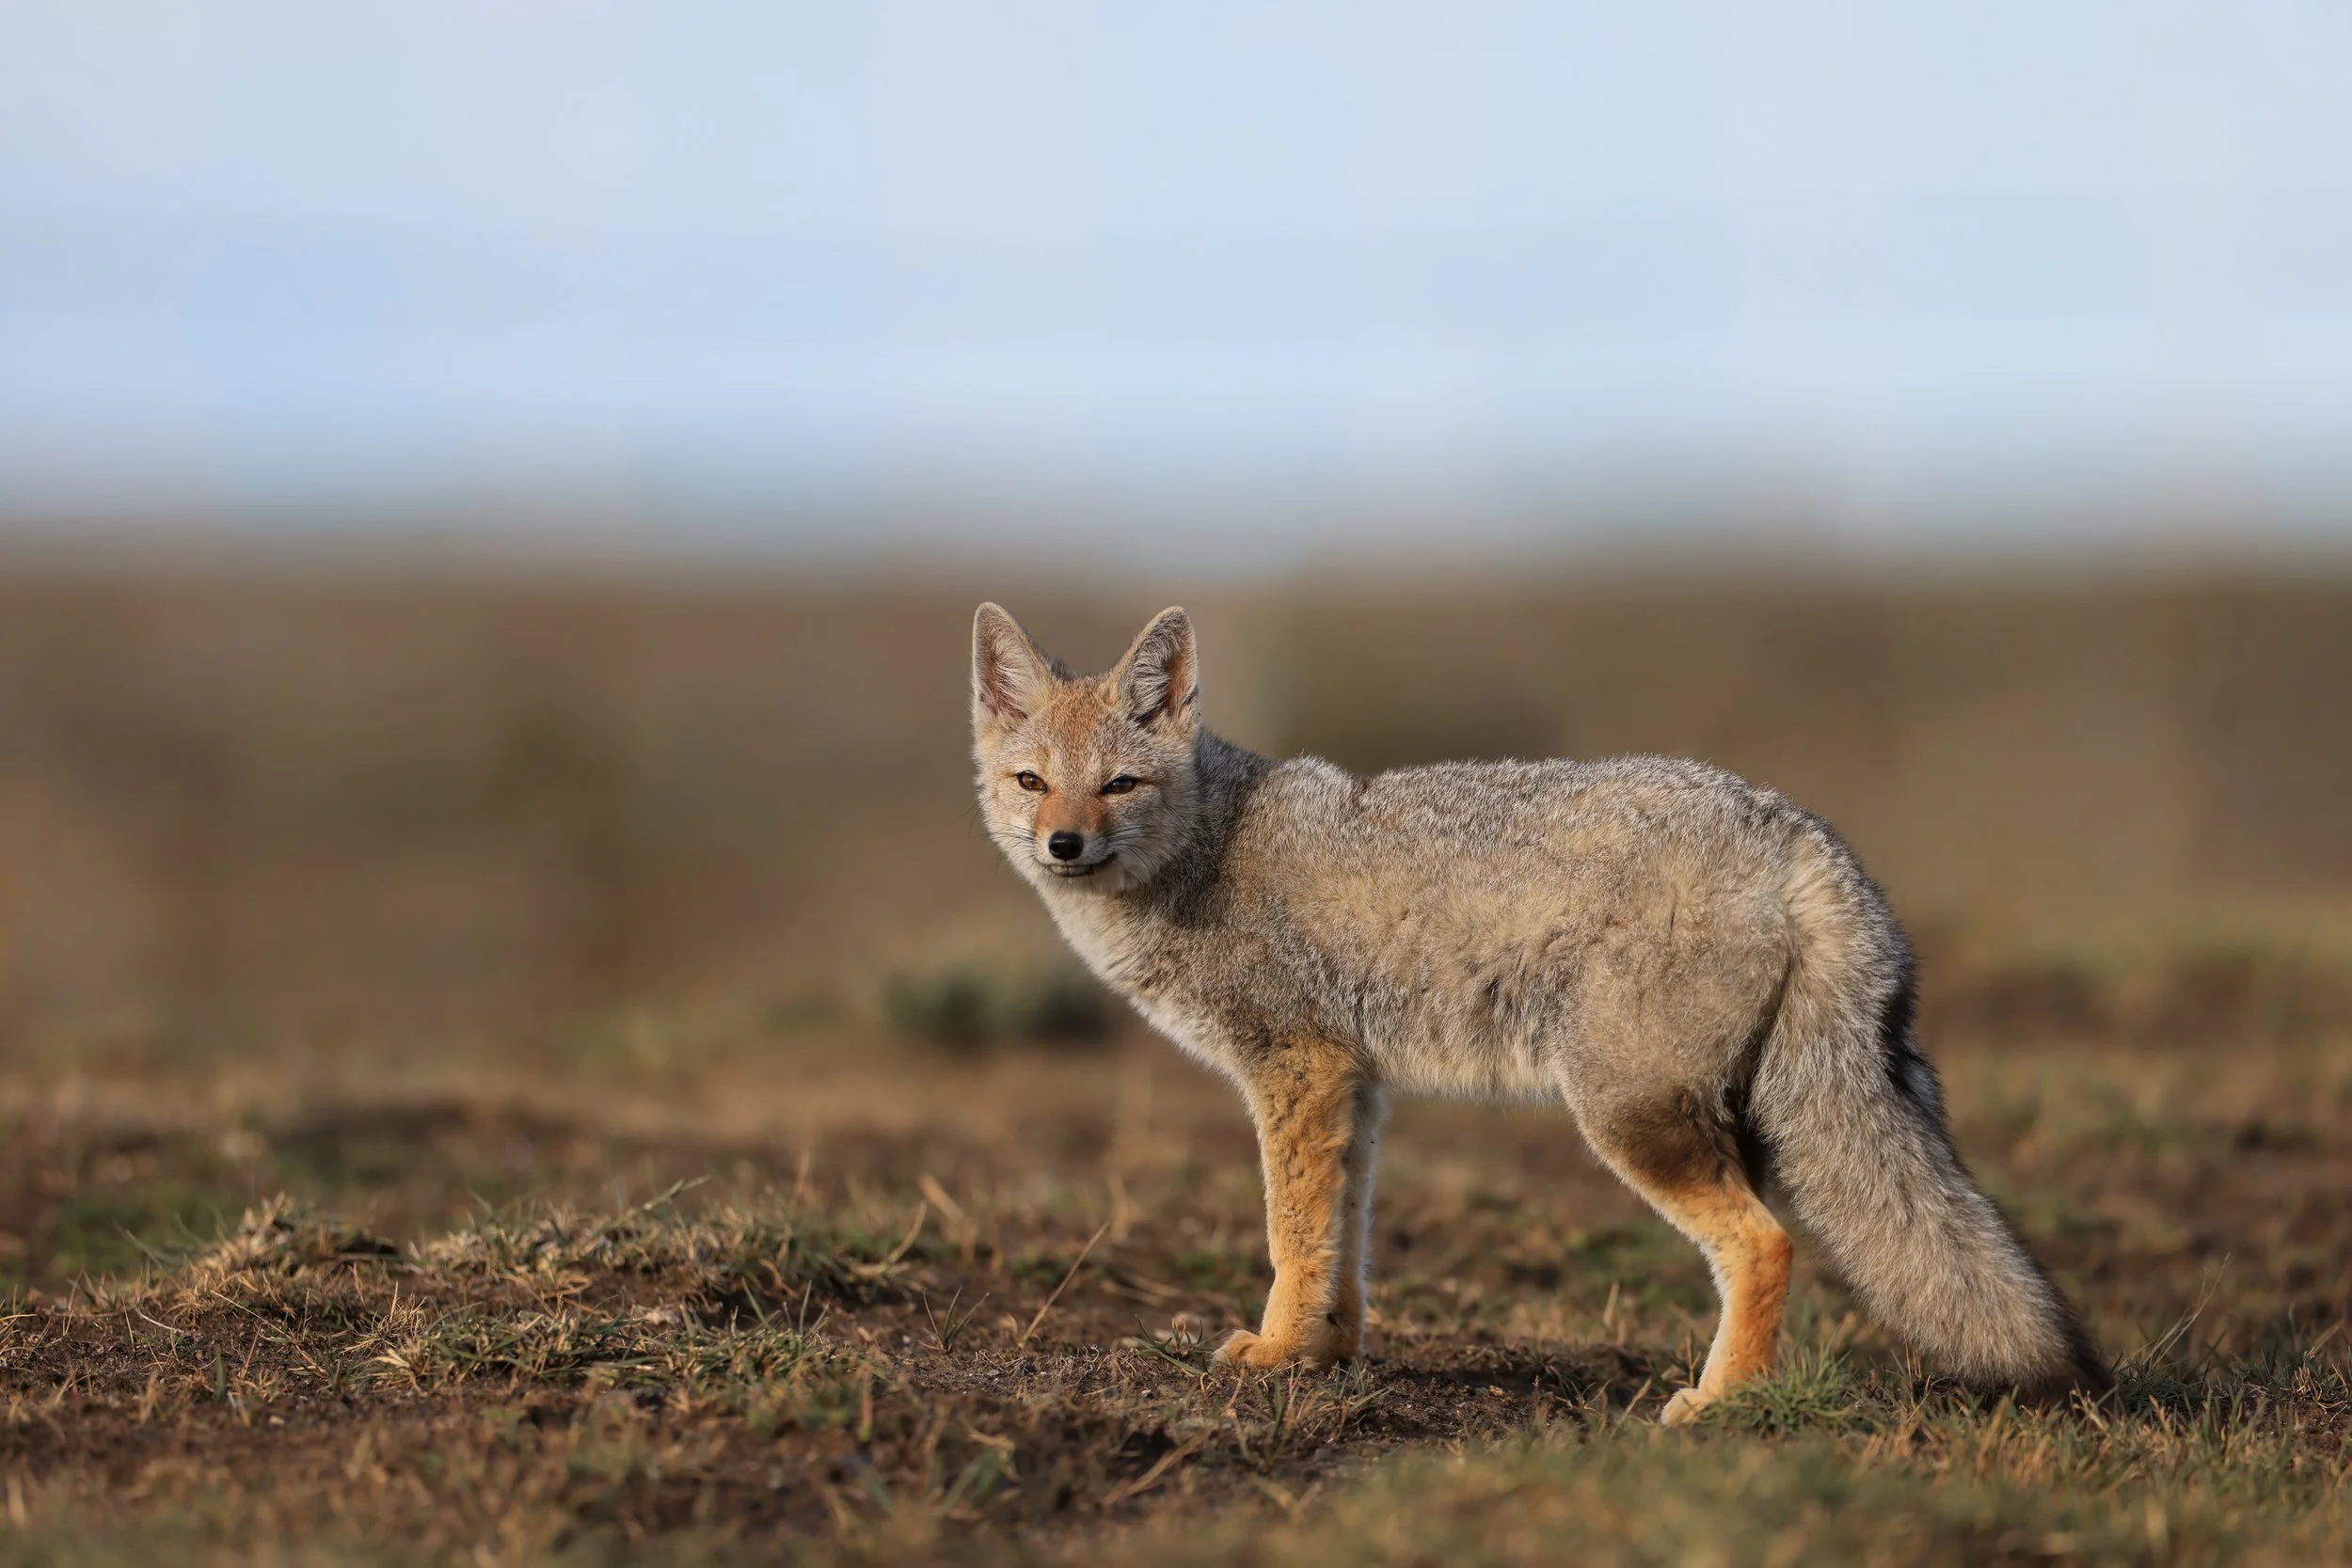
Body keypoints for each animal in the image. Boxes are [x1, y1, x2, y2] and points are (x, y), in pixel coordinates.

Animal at [969, 601, 2108, 1424]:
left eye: (1119, 783)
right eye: (1031, 781)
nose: (1063, 844)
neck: (1208, 845)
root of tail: (1798, 829)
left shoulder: (1294, 1068)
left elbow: (1292, 1234)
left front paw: (1276, 1350)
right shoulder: (1355, 1086)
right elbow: (1344, 1238)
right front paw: (1328, 1351)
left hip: (1628, 1114)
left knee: (1766, 1243)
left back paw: (1721, 1403)